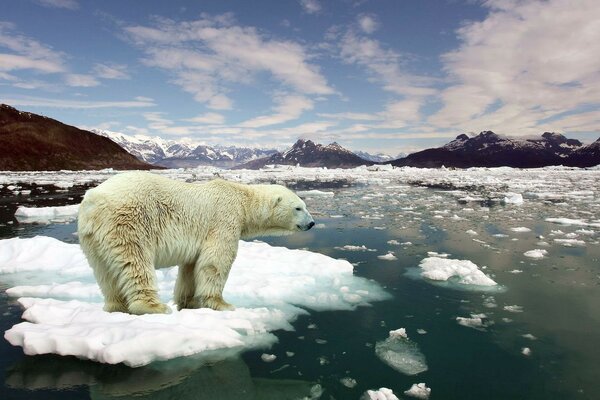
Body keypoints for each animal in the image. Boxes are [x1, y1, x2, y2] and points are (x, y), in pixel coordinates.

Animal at [77, 172, 316, 316]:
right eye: (298, 208)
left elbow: (191, 267)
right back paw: (153, 306)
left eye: (305, 206)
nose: (312, 223)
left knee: (104, 272)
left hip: (92, 238)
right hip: (128, 222)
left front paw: (188, 302)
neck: (242, 200)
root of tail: (93, 201)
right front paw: (222, 304)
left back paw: (115, 307)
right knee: (135, 262)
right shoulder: (224, 220)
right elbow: (216, 261)